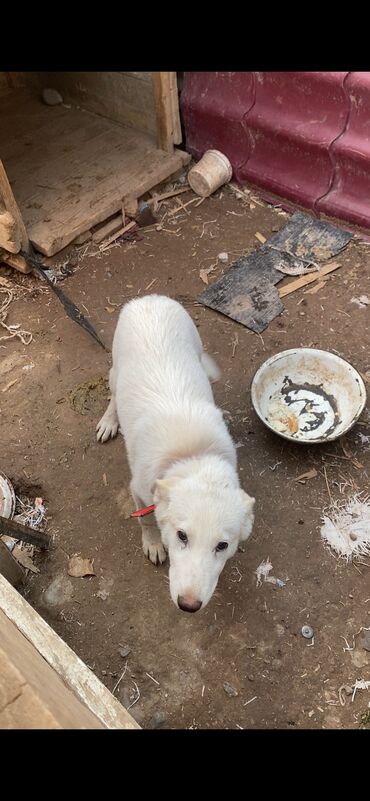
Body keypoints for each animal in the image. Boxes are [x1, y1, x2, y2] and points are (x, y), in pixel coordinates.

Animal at [97, 294, 256, 612]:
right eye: (182, 536)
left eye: (222, 546)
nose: (189, 605)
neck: (192, 455)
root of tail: (149, 298)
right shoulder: (138, 491)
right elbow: (146, 521)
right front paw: (153, 544)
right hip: (115, 371)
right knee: (113, 395)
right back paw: (109, 420)